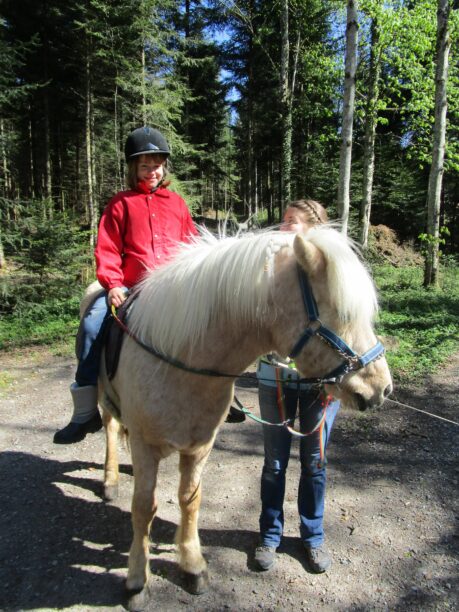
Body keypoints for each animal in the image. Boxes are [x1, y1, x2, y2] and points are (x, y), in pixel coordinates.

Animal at [90, 227, 392, 608]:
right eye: (342, 312)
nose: (381, 388)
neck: (178, 361)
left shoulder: (200, 445)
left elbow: (190, 499)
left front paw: (192, 566)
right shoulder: (147, 446)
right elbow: (144, 507)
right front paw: (136, 581)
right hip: (104, 399)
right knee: (111, 428)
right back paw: (111, 479)